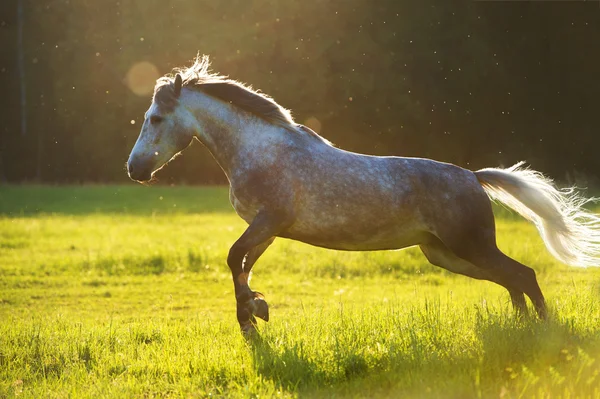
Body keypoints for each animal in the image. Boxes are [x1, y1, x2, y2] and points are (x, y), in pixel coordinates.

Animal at [127, 54, 600, 334]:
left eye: (155, 118)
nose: (135, 169)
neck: (260, 150)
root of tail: (473, 177)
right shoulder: (267, 229)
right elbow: (241, 265)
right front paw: (254, 315)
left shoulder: (269, 220)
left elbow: (233, 258)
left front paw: (253, 315)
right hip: (447, 255)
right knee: (512, 280)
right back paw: (523, 331)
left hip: (470, 247)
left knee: (524, 276)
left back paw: (542, 334)